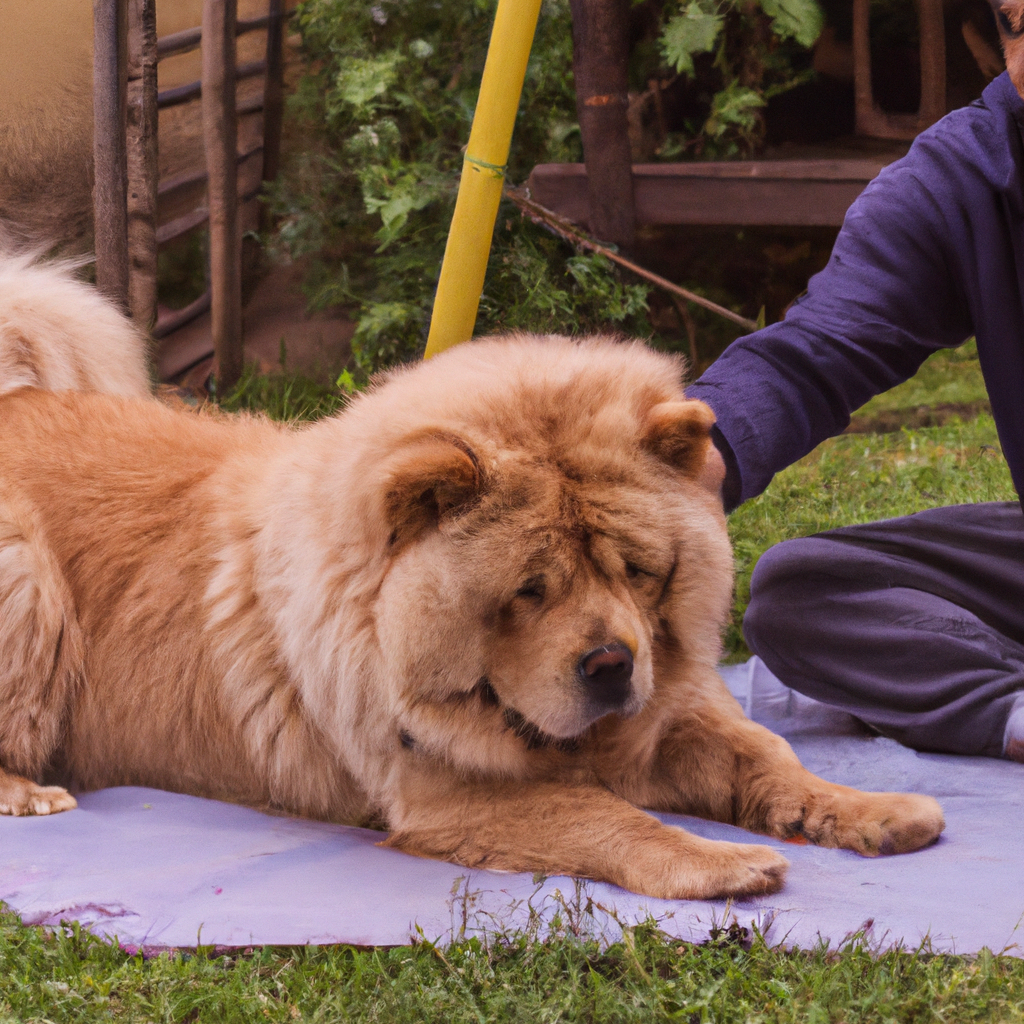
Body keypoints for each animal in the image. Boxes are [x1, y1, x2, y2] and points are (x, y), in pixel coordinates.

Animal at [0, 256, 942, 897]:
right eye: (529, 591)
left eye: (638, 573)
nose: (612, 664)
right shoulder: (454, 797)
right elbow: (606, 816)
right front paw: (721, 862)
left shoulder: (667, 721)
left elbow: (767, 757)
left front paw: (873, 812)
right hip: (26, 579)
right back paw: (29, 795)